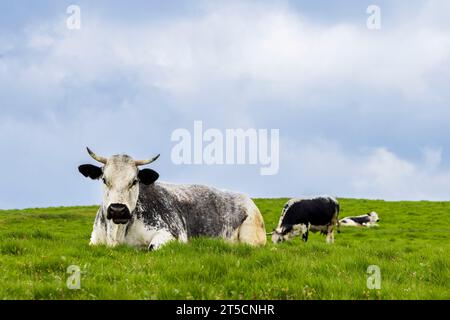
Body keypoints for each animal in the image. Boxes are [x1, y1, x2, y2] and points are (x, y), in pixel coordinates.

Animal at [78, 148, 268, 250]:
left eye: (134, 181)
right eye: (104, 180)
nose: (118, 209)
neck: (117, 234)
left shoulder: (172, 233)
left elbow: (152, 247)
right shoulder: (94, 240)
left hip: (252, 237)